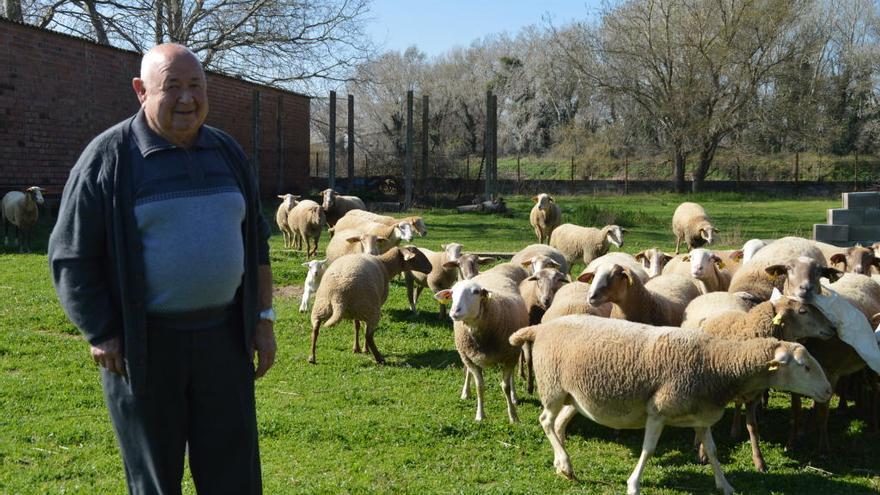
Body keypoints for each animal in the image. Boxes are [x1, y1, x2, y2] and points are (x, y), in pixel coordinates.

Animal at [434, 264, 528, 422]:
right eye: (452, 293)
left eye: (476, 292)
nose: (454, 311)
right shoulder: (469, 357)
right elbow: (479, 386)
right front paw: (480, 415)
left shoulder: (510, 356)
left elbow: (505, 386)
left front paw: (513, 416)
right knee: (467, 372)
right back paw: (465, 393)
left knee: (511, 378)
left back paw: (514, 397)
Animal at [508, 316, 832, 494]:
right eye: (804, 367)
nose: (828, 391)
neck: (717, 365)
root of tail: (540, 327)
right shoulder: (659, 411)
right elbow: (649, 450)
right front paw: (634, 485)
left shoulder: (701, 416)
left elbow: (713, 452)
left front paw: (725, 485)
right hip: (552, 387)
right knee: (545, 421)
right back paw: (563, 461)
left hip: (574, 396)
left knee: (559, 423)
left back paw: (564, 466)